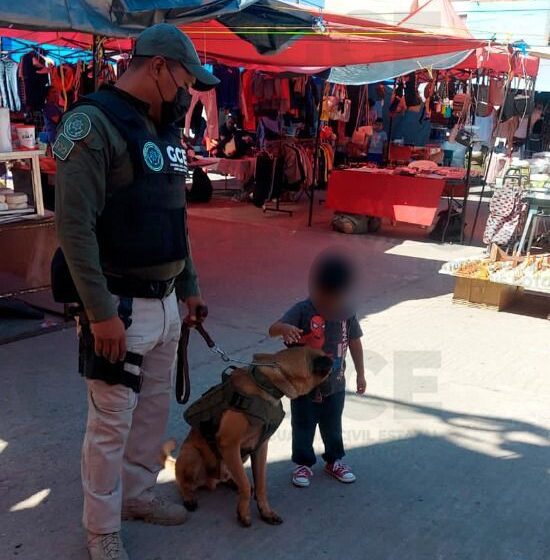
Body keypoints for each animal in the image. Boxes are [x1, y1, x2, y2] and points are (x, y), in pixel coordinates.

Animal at [164, 348, 334, 528]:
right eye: (330, 374)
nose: (334, 390)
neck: (266, 384)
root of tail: (211, 480)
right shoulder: (229, 445)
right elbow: (245, 484)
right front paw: (243, 513)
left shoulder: (260, 447)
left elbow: (260, 484)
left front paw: (265, 511)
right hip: (192, 455)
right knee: (183, 482)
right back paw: (189, 497)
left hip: (240, 457)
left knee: (230, 476)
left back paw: (231, 481)